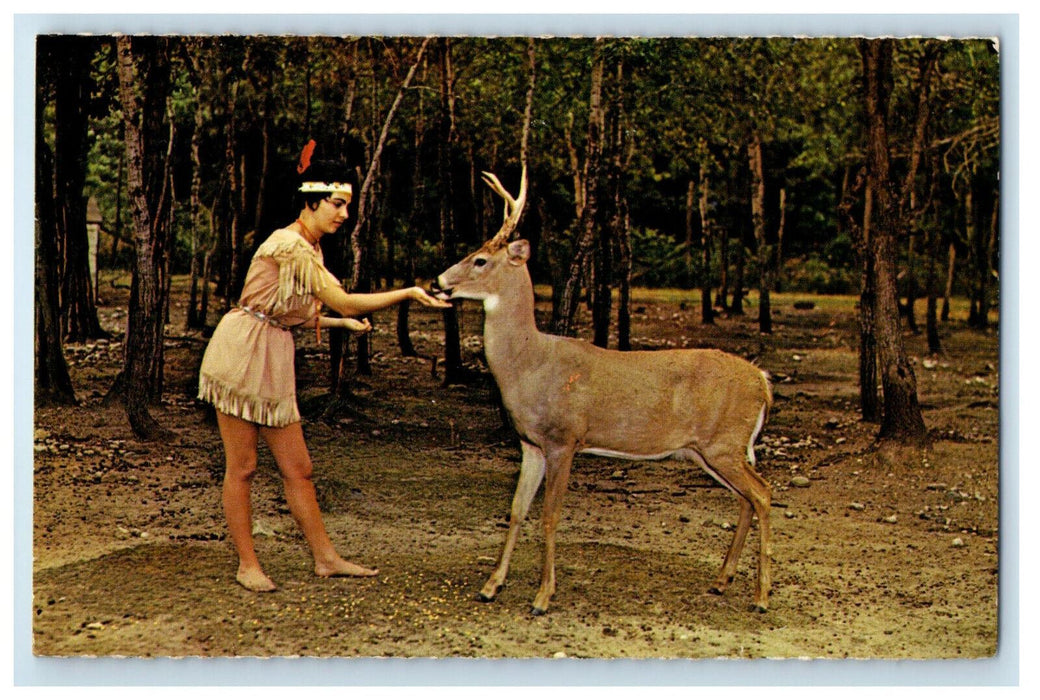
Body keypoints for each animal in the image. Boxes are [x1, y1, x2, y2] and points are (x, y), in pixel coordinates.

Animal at [432, 166, 774, 616]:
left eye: (480, 259)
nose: (437, 282)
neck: (529, 365)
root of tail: (763, 382)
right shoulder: (530, 443)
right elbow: (517, 511)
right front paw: (491, 586)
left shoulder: (565, 438)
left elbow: (550, 516)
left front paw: (543, 596)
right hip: (709, 451)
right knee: (747, 499)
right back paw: (721, 581)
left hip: (725, 444)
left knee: (764, 495)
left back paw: (762, 596)